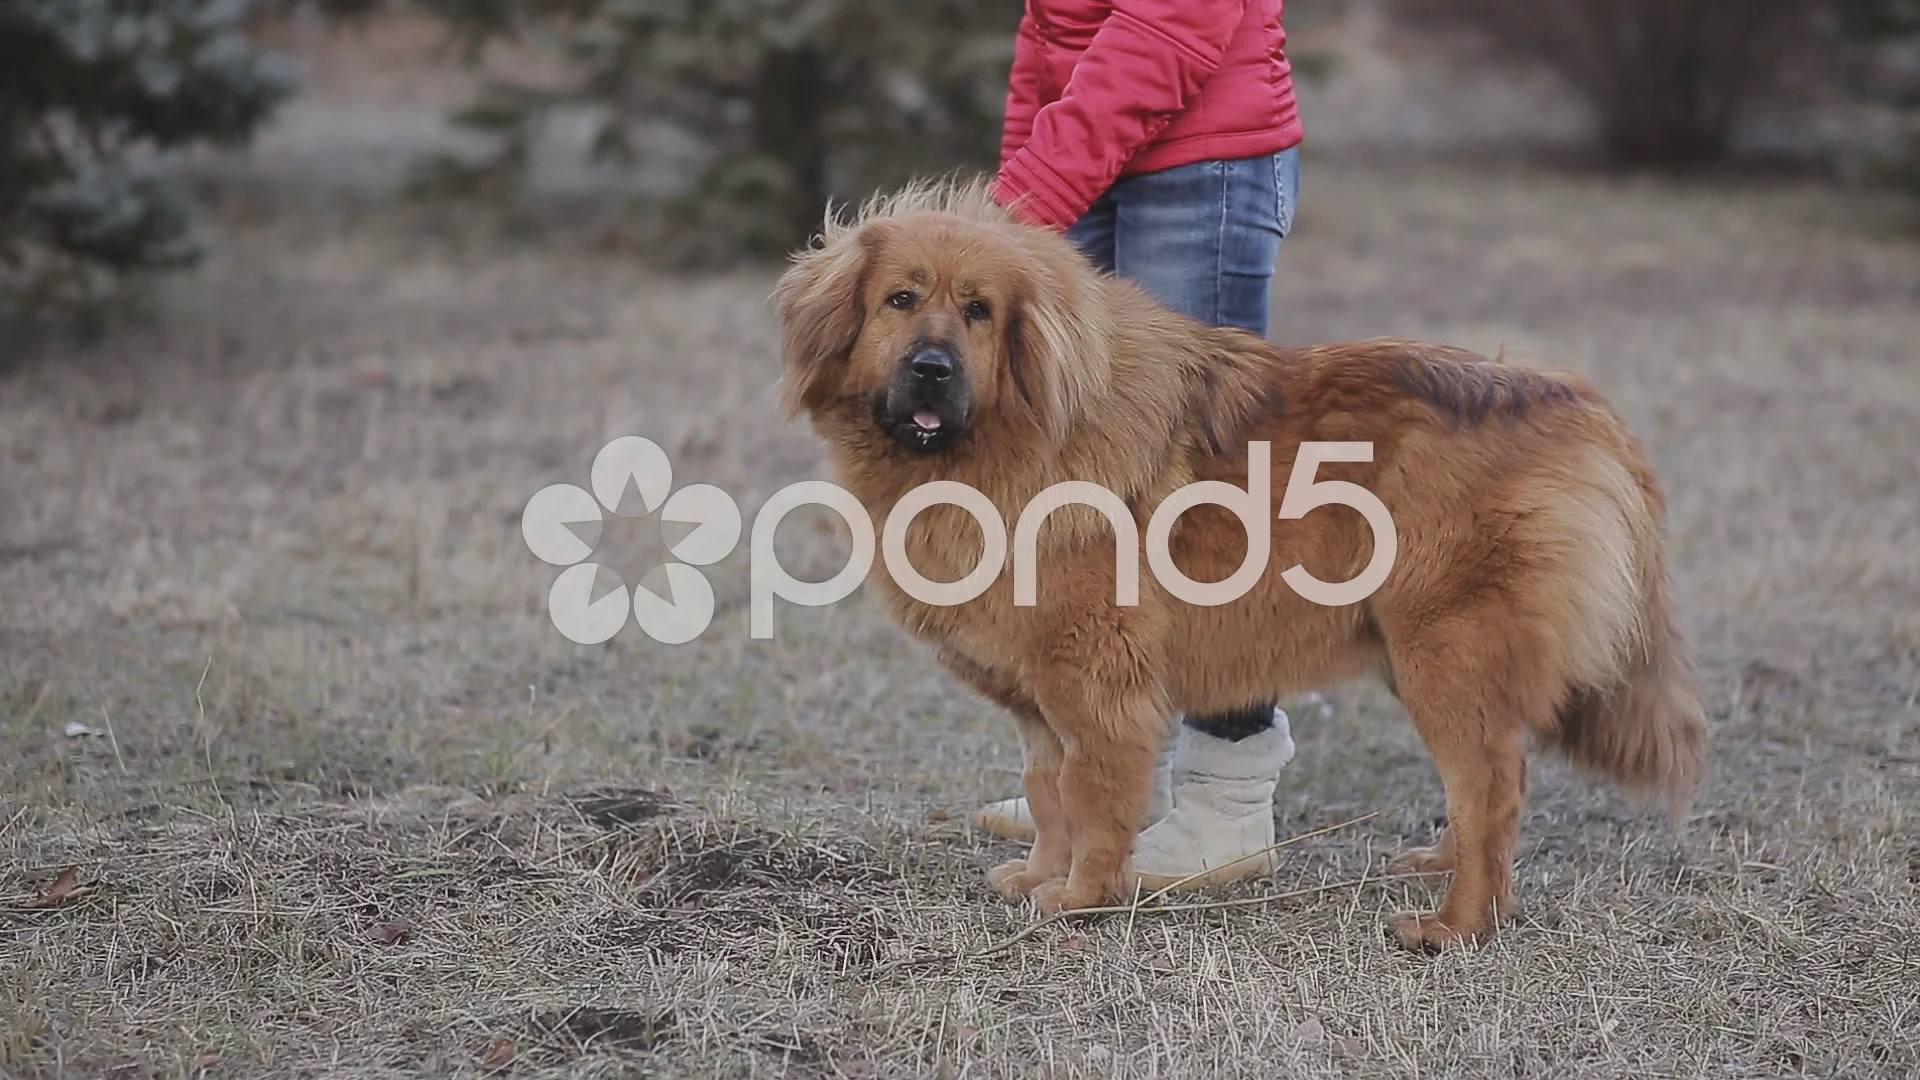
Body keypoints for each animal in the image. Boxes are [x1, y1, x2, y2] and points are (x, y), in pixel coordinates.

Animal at [768, 178, 1712, 949]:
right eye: (900, 300)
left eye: (979, 312)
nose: (931, 369)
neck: (1003, 447)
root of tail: (1579, 405)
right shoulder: (1040, 700)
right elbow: (1046, 792)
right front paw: (1040, 875)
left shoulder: (1098, 686)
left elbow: (1091, 796)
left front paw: (1082, 898)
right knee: (1485, 781)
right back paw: (1441, 869)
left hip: (1444, 653)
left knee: (1494, 786)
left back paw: (1457, 925)